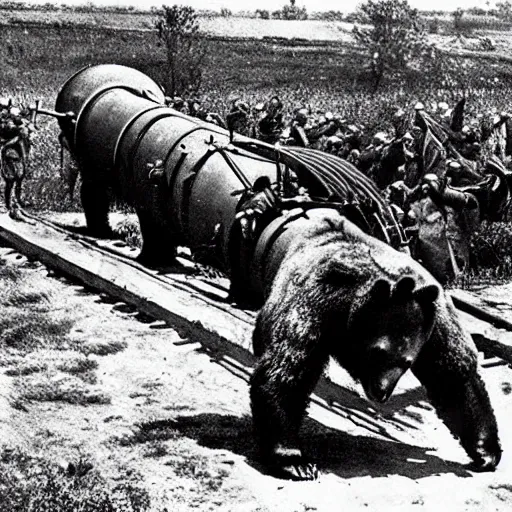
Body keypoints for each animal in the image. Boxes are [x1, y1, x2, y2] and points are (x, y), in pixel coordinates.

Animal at [250, 207, 502, 480]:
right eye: (377, 352)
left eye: (407, 362)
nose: (382, 391)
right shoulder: (312, 298)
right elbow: (286, 369)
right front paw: (294, 459)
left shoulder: (433, 318)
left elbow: (452, 375)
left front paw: (485, 451)